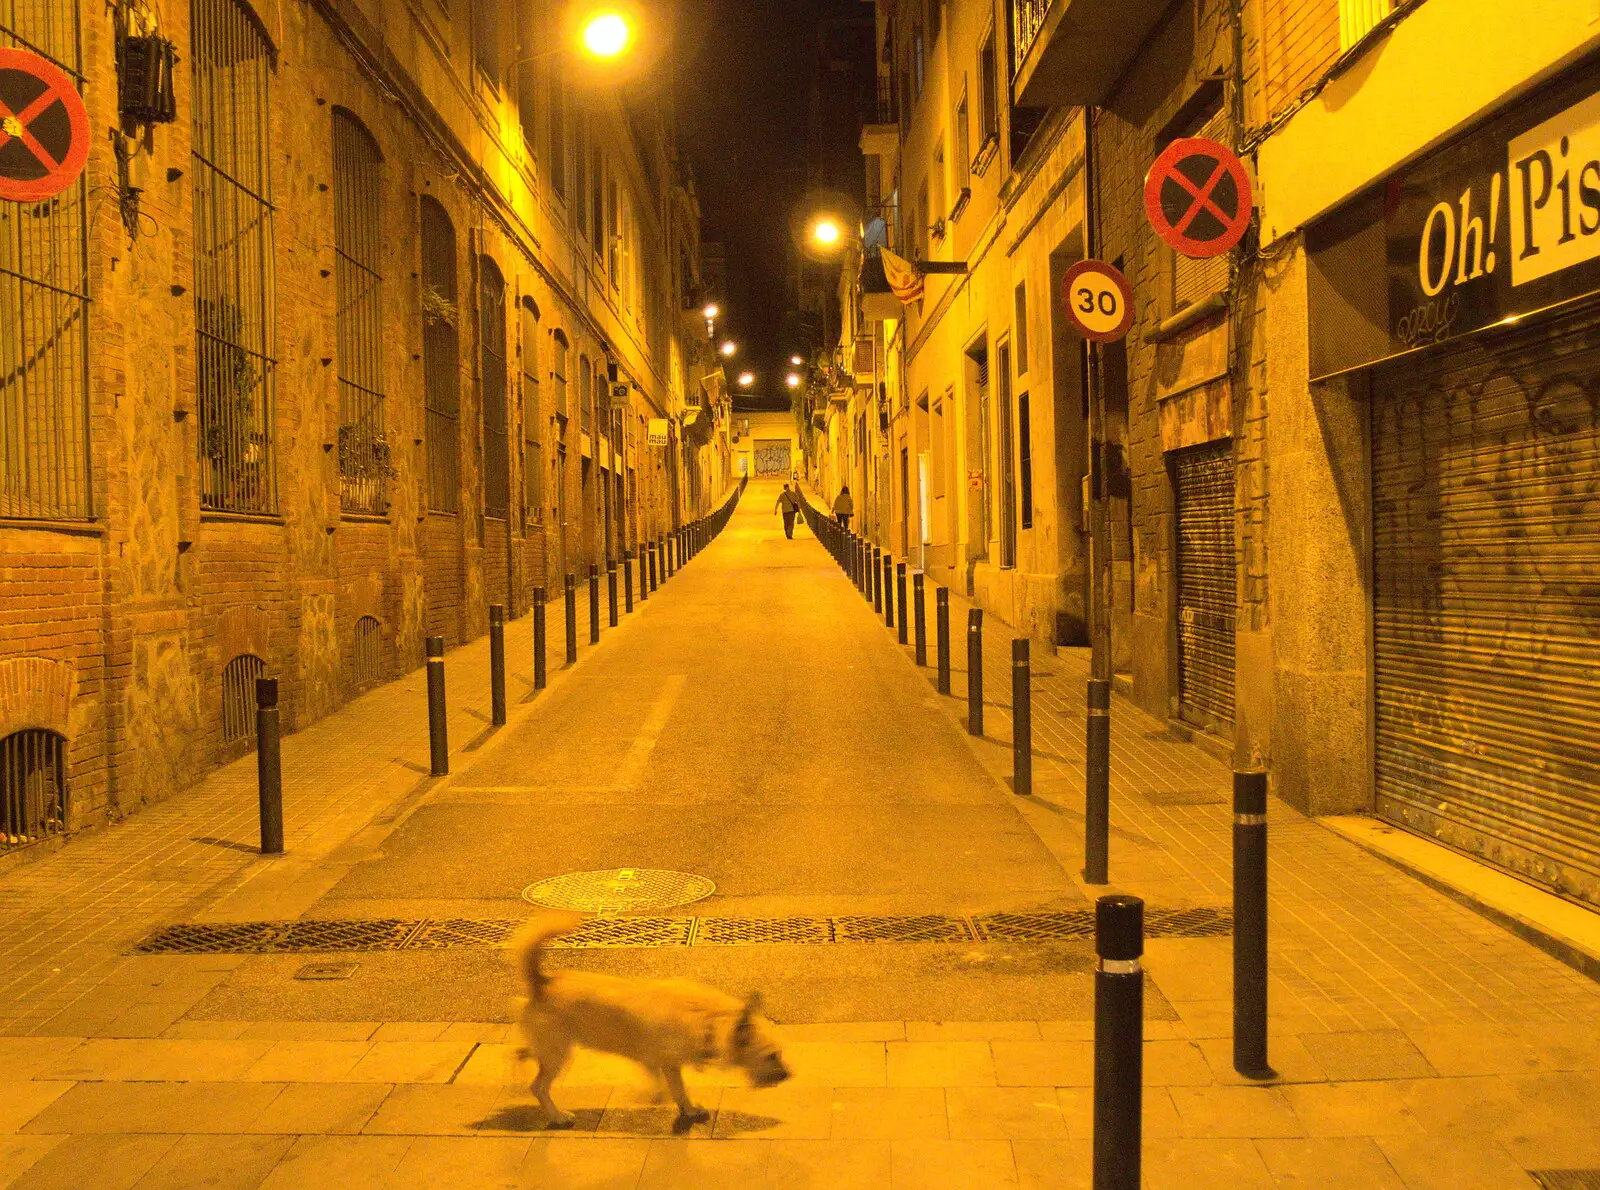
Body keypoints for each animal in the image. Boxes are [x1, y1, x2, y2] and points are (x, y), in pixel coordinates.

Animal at [508, 908, 790, 1132]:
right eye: (772, 1055)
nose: (789, 1076)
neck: (709, 1020)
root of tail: (542, 983)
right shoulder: (670, 1064)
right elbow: (678, 1090)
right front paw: (687, 1109)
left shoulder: (655, 1059)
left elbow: (657, 1079)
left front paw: (658, 1096)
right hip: (559, 1054)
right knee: (539, 1087)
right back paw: (556, 1115)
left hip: (554, 1049)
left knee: (521, 1054)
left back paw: (517, 1077)